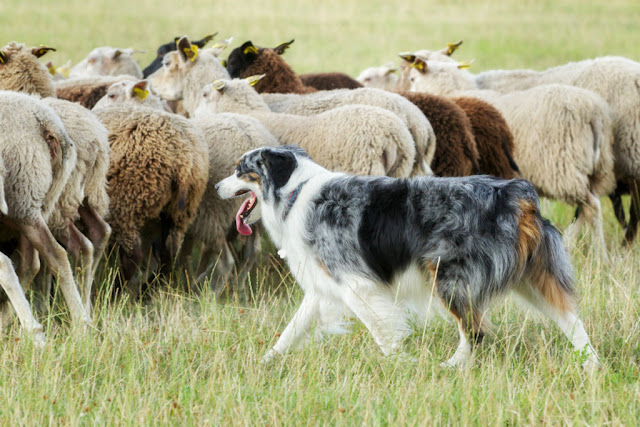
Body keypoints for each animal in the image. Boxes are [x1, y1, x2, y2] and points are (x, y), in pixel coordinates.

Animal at [215, 145, 600, 372]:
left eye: (240, 169)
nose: (216, 187)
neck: (295, 191)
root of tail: (514, 193)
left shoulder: (357, 285)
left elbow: (383, 332)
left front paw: (403, 363)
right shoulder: (324, 286)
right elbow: (290, 332)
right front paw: (265, 362)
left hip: (449, 277)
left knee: (474, 332)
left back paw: (450, 367)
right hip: (531, 278)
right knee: (571, 319)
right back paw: (591, 365)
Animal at [404, 59, 616, 258]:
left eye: (413, 78)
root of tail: (595, 114)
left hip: (562, 167)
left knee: (592, 206)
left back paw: (600, 255)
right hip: (596, 170)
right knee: (587, 207)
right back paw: (571, 245)